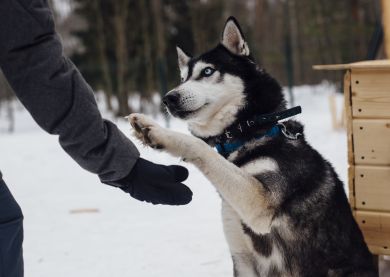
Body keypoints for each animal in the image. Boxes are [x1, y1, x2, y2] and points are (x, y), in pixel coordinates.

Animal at [130, 17, 378, 276]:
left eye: (207, 71)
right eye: (182, 79)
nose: (168, 98)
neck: (246, 134)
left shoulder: (259, 204)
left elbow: (201, 148)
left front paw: (156, 131)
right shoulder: (242, 259)